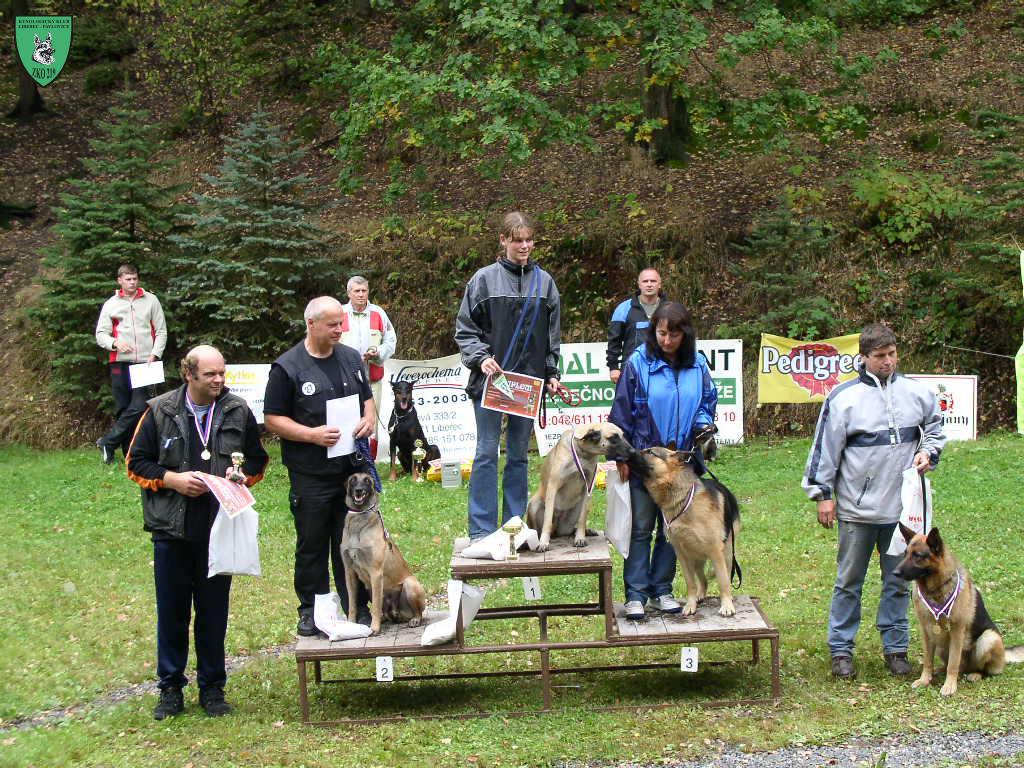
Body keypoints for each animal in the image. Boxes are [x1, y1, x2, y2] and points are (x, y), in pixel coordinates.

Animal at [340, 472, 427, 635]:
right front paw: (350, 623)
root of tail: (398, 612)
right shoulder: (349, 572)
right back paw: (387, 618)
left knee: (418, 612)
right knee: (385, 611)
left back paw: (414, 619)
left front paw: (374, 628)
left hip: (410, 585)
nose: (359, 490)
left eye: (367, 481)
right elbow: (352, 603)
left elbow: (375, 606)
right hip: (369, 589)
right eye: (353, 480)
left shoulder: (375, 573)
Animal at [526, 423, 633, 551]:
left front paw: (580, 537)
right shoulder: (553, 487)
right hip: (534, 504)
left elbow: (582, 519)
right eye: (614, 437)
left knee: (570, 528)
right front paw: (543, 542)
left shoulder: (587, 489)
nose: (633, 451)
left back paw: (585, 531)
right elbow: (547, 520)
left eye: (622, 435)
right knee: (540, 528)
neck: (582, 453)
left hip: (577, 512)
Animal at [626, 446, 742, 617]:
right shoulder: (682, 555)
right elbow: (691, 584)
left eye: (650, 452)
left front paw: (726, 605)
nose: (628, 450)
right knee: (703, 580)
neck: (683, 498)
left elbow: (723, 581)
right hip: (697, 558)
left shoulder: (716, 552)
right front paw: (691, 604)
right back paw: (700, 595)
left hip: (726, 554)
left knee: (726, 574)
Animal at [894, 525, 1024, 696]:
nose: (895, 573)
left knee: (981, 669)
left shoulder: (957, 631)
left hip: (988, 638)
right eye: (905, 554)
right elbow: (928, 660)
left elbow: (953, 662)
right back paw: (940, 670)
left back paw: (975, 674)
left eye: (917, 556)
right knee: (956, 666)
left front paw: (949, 685)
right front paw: (924, 680)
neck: (935, 590)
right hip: (941, 644)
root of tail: (1004, 657)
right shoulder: (926, 631)